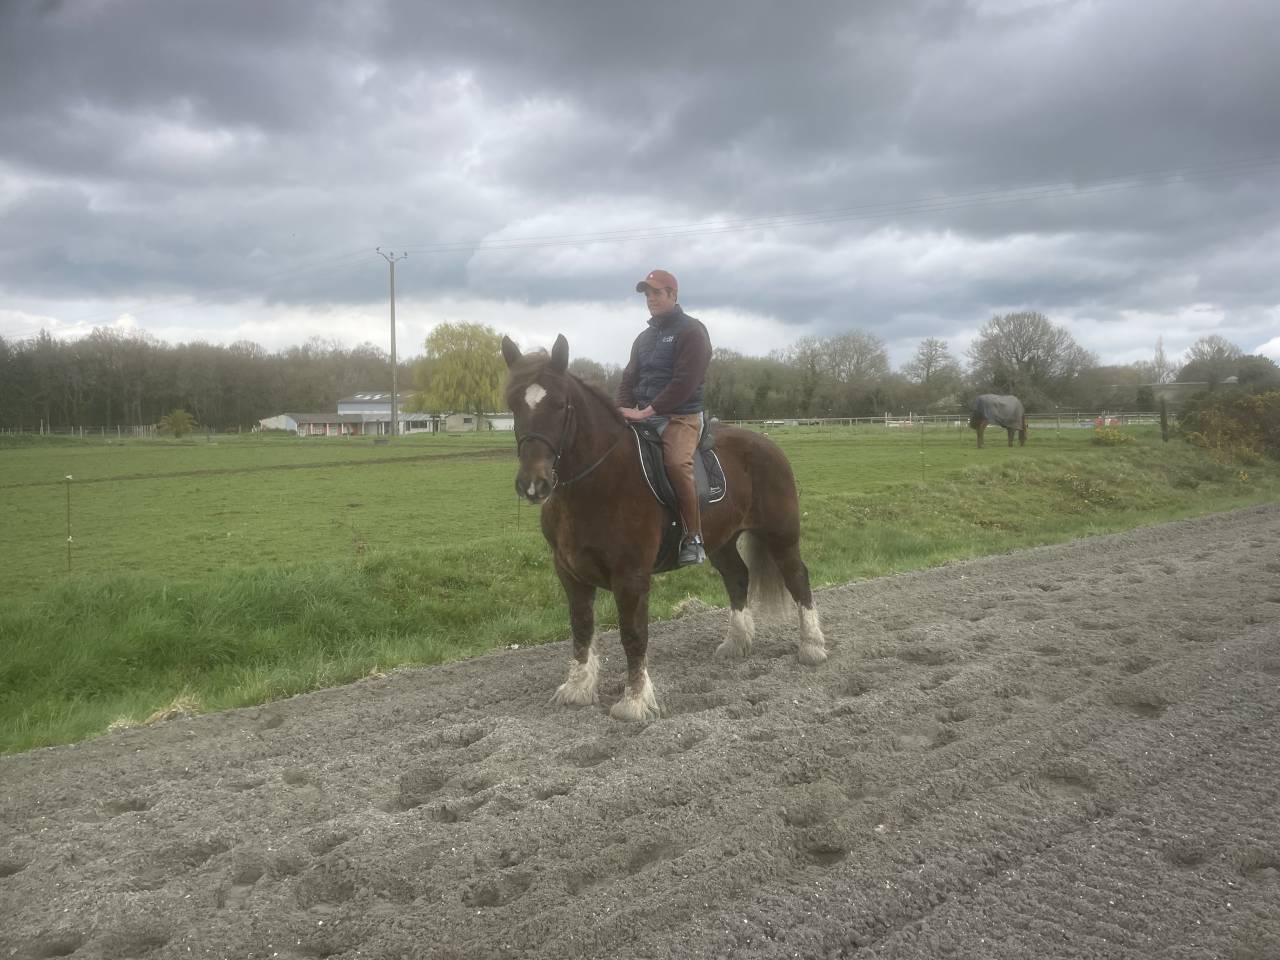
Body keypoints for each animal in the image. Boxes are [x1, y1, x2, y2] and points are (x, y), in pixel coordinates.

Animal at [501, 334, 826, 722]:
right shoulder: (570, 573)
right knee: (737, 578)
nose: (532, 484)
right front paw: (578, 689)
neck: (599, 480)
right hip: (721, 541)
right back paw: (736, 643)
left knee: (797, 578)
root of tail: (767, 444)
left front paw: (635, 702)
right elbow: (581, 628)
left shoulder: (631, 576)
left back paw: (812, 647)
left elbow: (633, 634)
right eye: (513, 404)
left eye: (561, 404)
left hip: (780, 535)